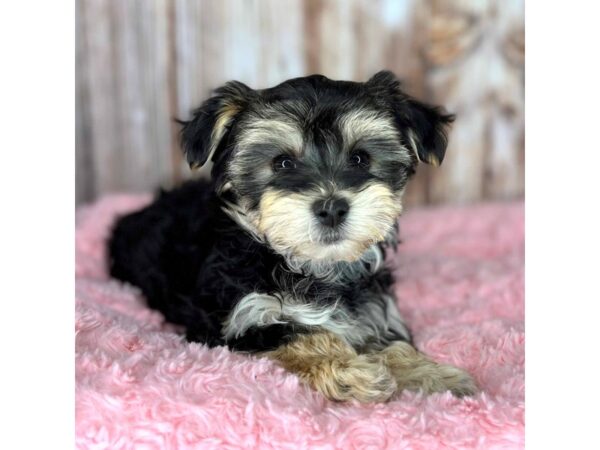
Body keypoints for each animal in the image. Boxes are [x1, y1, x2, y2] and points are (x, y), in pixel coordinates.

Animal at [109, 72, 478, 402]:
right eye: (283, 163)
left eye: (360, 158)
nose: (332, 208)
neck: (310, 267)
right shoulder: (235, 323)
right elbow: (302, 335)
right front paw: (352, 371)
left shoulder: (375, 313)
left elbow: (394, 345)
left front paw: (432, 375)